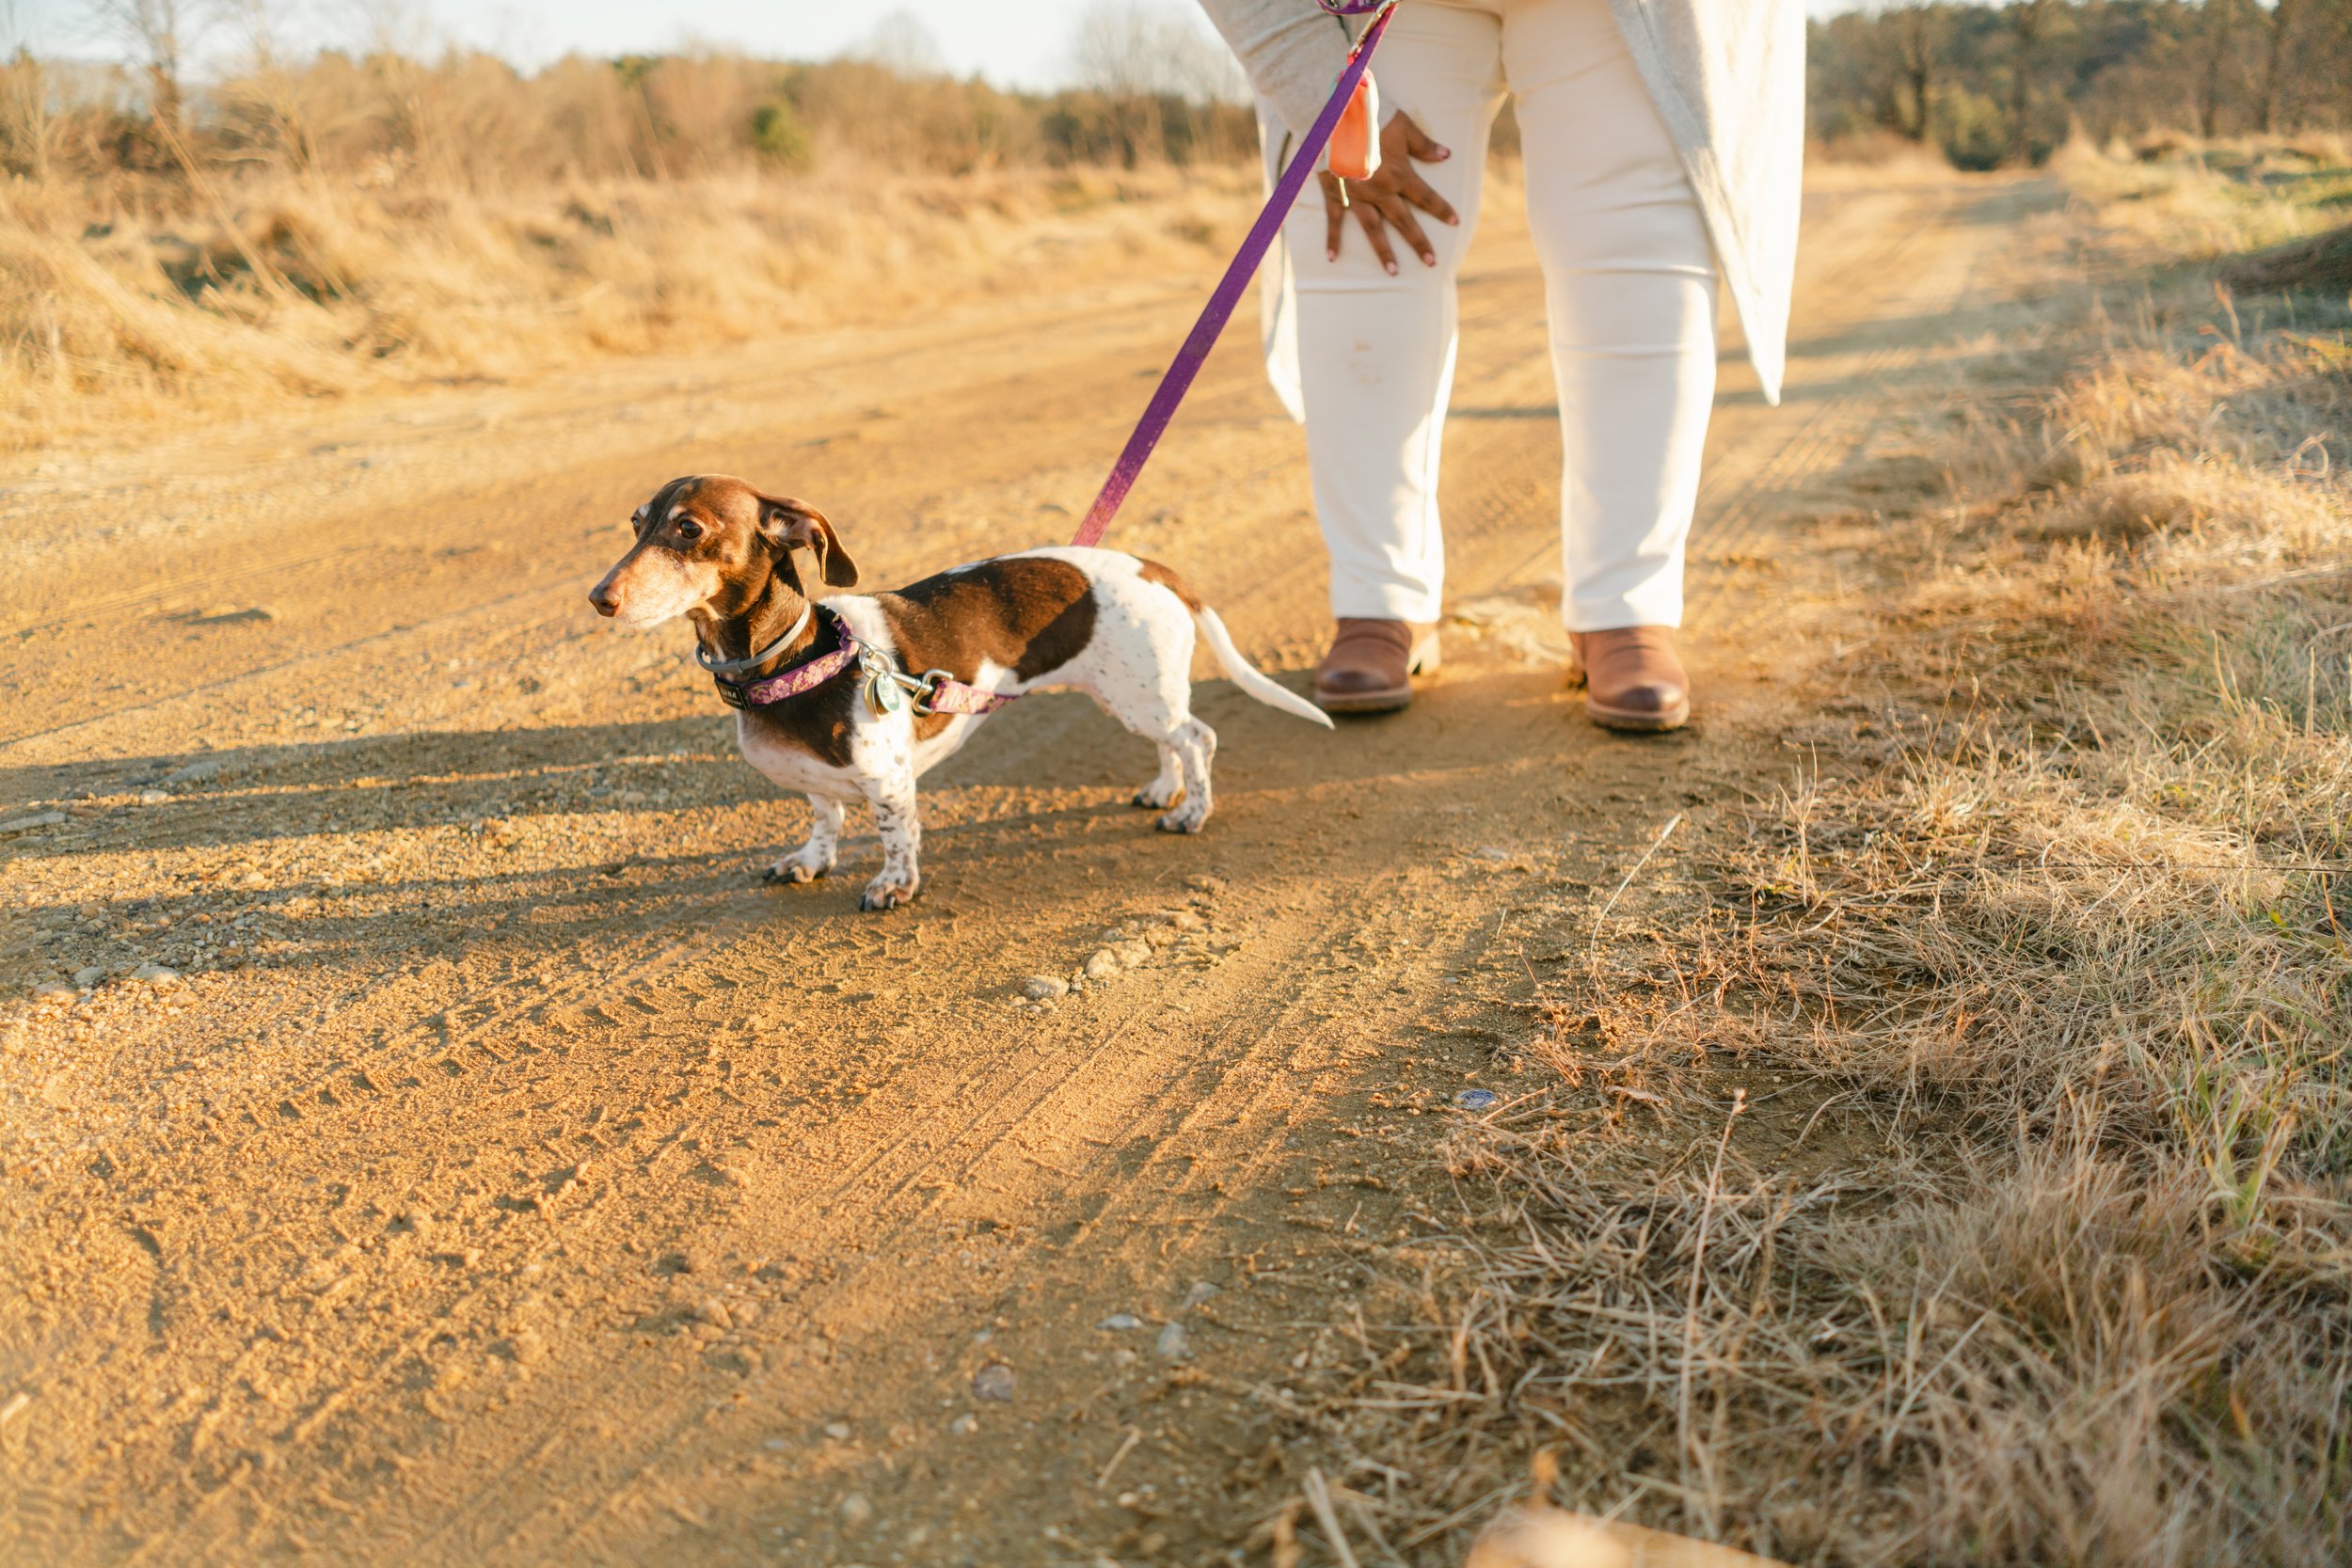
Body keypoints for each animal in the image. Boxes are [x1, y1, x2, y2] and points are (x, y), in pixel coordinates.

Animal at [588, 474, 1336, 907]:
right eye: (636, 523)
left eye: (689, 527)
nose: (599, 598)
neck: (798, 659)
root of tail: (1152, 566)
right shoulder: (815, 786)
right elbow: (825, 821)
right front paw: (809, 862)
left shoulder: (889, 783)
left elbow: (896, 836)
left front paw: (894, 886)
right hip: (1131, 696)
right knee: (1172, 744)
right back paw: (1163, 790)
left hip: (1140, 694)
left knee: (1198, 738)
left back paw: (1193, 812)